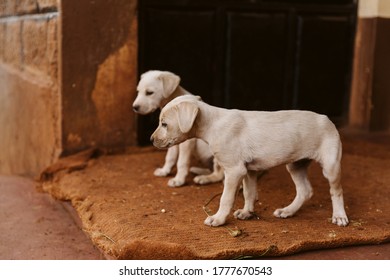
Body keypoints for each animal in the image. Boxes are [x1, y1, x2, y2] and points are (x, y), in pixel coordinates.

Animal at [151, 96, 348, 228]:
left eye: (164, 124)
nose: (151, 140)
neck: (213, 124)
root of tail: (327, 119)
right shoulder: (249, 170)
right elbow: (249, 193)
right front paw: (247, 212)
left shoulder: (234, 171)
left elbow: (226, 198)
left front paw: (218, 219)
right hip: (295, 165)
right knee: (305, 191)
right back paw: (288, 211)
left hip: (331, 165)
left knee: (336, 191)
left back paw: (339, 216)